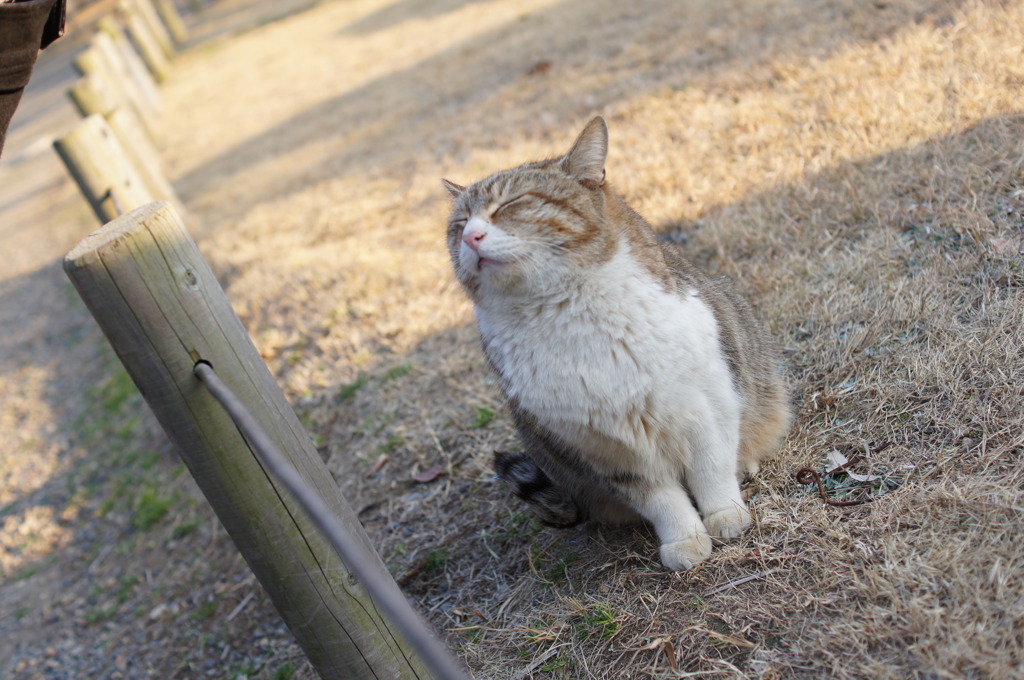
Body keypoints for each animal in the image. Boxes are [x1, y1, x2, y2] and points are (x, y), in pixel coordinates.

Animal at [442, 116, 790, 569]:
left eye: (512, 205)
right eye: (458, 225)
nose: (471, 237)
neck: (565, 315)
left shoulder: (706, 404)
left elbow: (711, 468)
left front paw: (724, 515)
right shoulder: (604, 450)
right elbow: (662, 501)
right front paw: (684, 541)